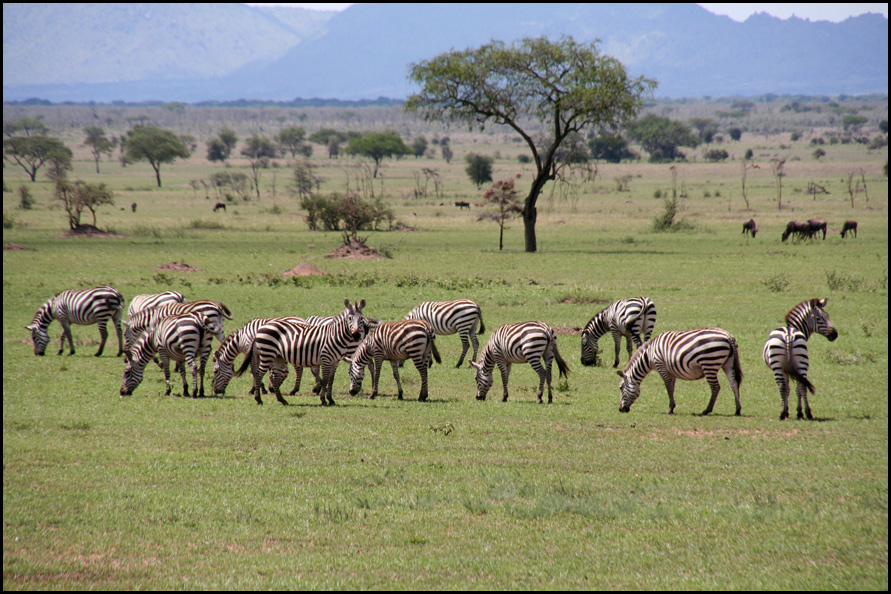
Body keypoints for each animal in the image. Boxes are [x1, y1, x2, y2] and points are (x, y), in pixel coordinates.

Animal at [234, 299, 367, 406]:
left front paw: (330, 399)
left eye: (361, 319)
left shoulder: (335, 361)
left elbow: (331, 379)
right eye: (349, 318)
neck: (336, 336)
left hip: (277, 357)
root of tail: (260, 329)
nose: (356, 335)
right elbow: (325, 379)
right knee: (259, 373)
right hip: (268, 353)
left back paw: (282, 400)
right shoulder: (326, 358)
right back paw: (258, 399)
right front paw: (323, 400)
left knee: (274, 376)